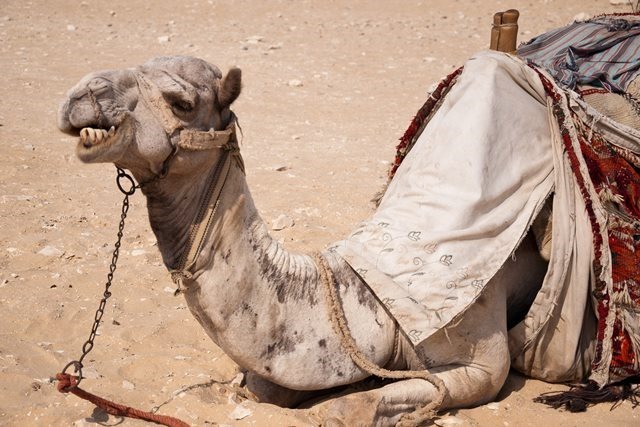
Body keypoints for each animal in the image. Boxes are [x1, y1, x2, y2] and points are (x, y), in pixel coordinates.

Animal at [56, 55, 592, 426]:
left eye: (180, 102)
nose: (82, 94)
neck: (374, 297)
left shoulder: (482, 363)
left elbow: (347, 410)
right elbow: (264, 389)